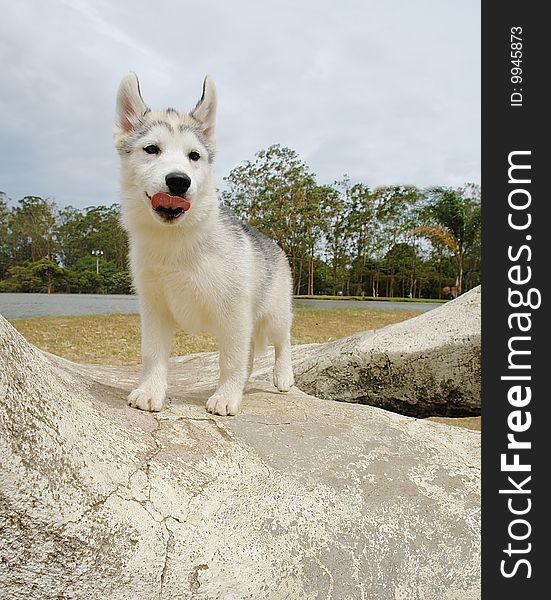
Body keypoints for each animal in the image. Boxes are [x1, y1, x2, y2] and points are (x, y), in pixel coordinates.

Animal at [112, 72, 294, 414]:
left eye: (194, 156)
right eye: (151, 149)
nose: (178, 181)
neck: (175, 243)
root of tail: (274, 244)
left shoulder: (235, 312)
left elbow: (232, 361)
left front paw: (226, 396)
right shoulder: (154, 308)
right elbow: (152, 354)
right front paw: (150, 391)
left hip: (274, 314)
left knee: (283, 341)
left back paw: (283, 375)